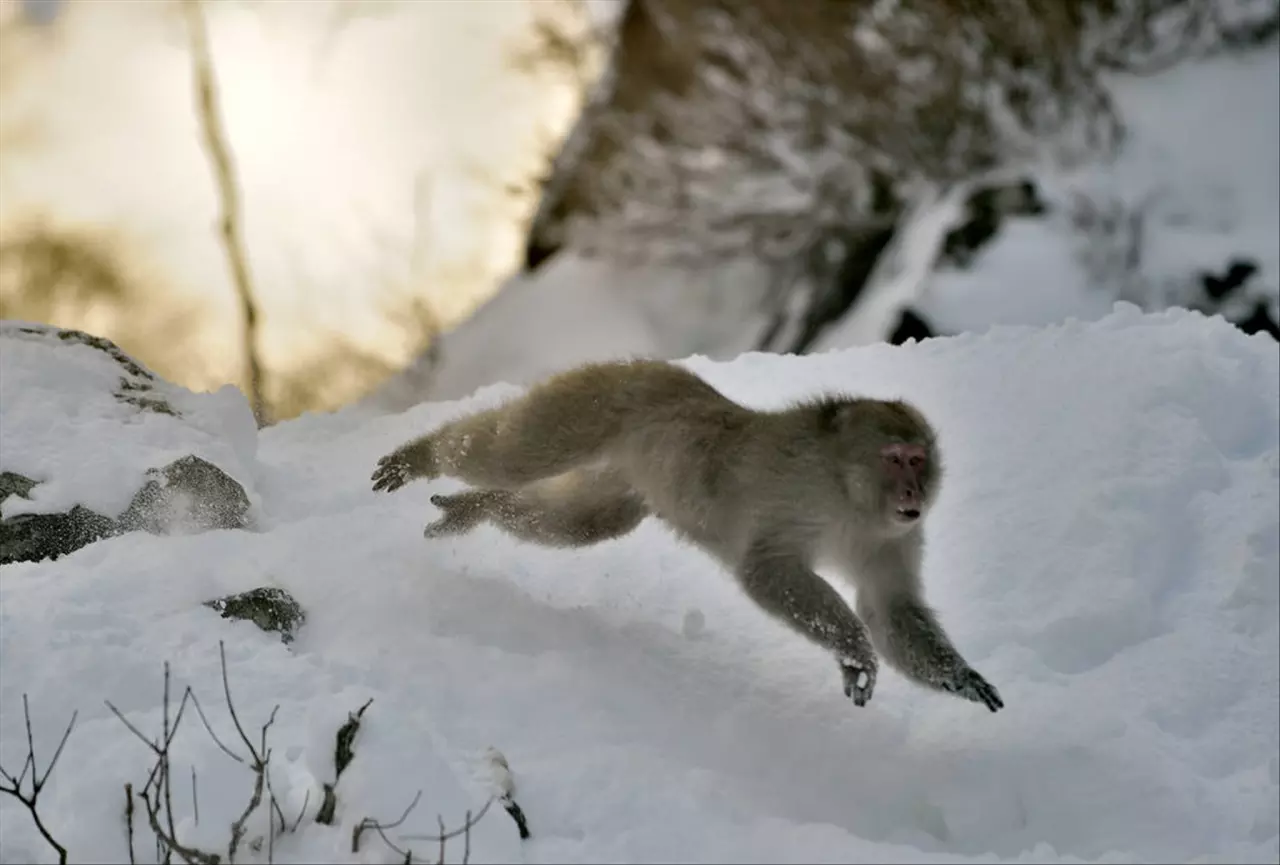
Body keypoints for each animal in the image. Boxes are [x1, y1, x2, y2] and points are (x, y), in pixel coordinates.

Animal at [373, 360, 1003, 716]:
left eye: (919, 459)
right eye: (894, 458)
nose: (913, 491)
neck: (850, 496)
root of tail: (650, 366)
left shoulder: (893, 538)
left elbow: (888, 607)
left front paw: (961, 678)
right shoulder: (800, 498)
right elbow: (765, 571)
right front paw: (855, 653)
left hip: (619, 474)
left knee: (580, 522)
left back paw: (477, 508)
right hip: (590, 403)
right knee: (513, 452)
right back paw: (423, 455)